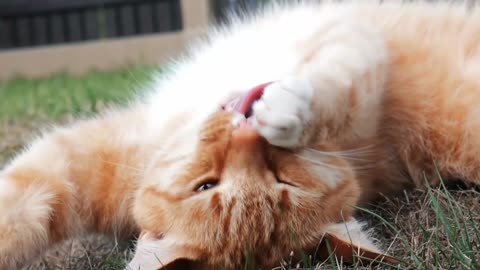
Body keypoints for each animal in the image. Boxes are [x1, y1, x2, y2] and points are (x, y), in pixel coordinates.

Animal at [0, 0, 480, 268]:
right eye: (205, 185)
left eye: (284, 180)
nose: (250, 134)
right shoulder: (73, 163)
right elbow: (19, 207)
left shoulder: (355, 50)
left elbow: (334, 88)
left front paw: (289, 111)